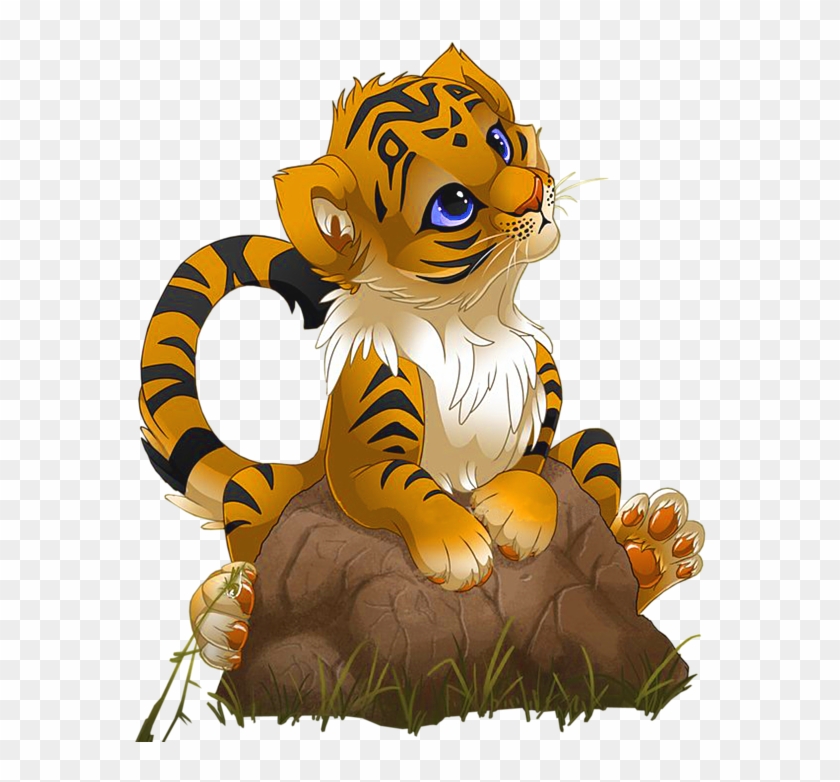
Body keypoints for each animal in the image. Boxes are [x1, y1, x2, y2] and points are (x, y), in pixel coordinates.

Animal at [140, 46, 705, 671]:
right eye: (452, 205)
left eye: (500, 142)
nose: (536, 193)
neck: (476, 316)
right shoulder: (362, 456)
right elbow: (403, 482)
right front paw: (458, 546)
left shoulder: (545, 405)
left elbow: (536, 467)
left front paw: (515, 515)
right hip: (260, 490)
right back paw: (226, 619)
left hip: (593, 449)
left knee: (599, 457)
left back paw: (653, 548)